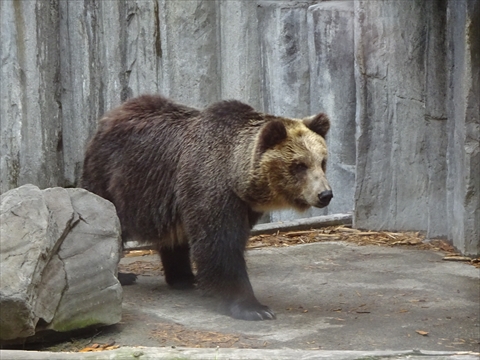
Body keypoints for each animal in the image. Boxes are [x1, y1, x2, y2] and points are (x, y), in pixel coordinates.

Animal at [81, 95, 330, 320]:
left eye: (322, 162)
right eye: (299, 165)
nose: (325, 194)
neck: (235, 176)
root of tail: (111, 115)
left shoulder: (243, 206)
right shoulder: (211, 186)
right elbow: (220, 245)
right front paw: (254, 308)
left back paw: (183, 278)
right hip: (111, 177)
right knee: (108, 219)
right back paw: (123, 275)